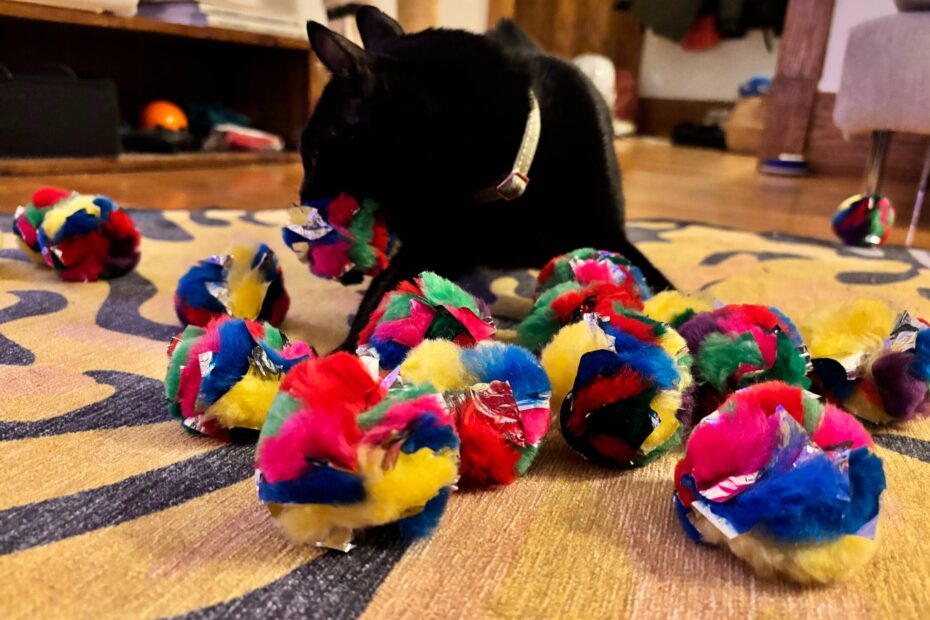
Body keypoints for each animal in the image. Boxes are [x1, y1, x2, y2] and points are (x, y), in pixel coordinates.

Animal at [300, 8, 672, 348]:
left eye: (314, 154)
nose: (303, 197)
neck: (500, 177)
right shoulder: (432, 246)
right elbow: (381, 294)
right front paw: (341, 358)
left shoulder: (611, 237)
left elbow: (661, 285)